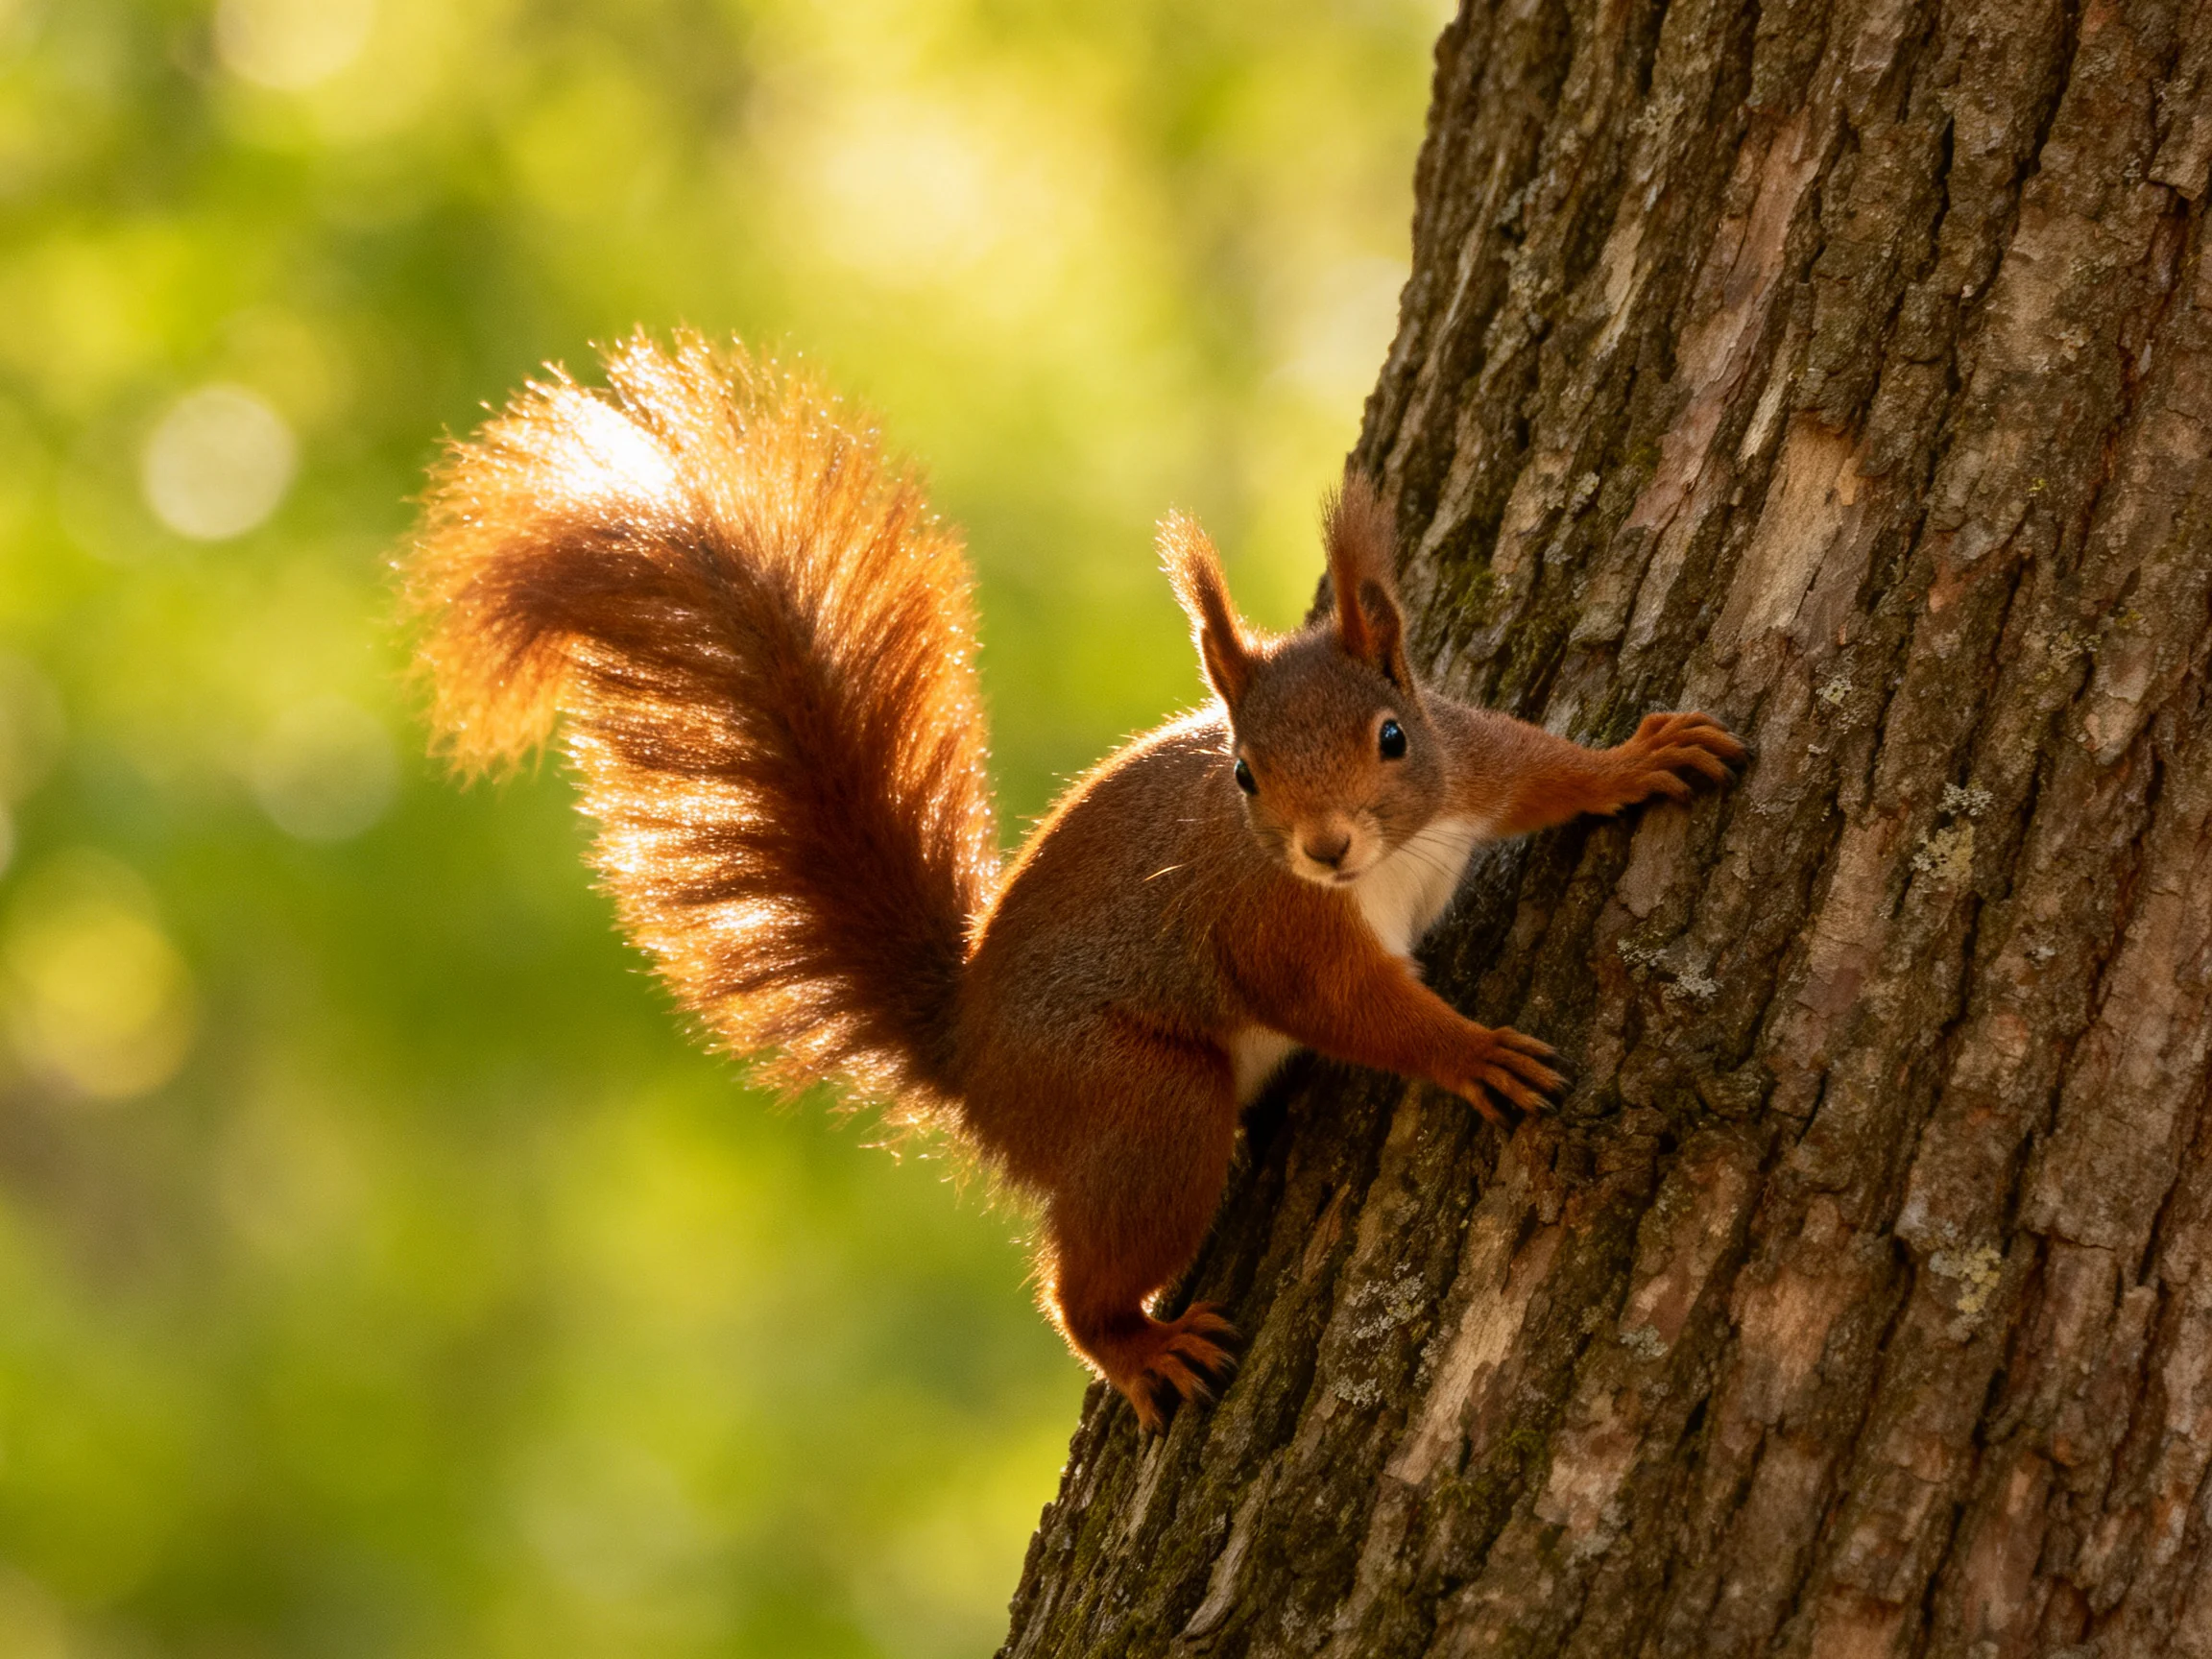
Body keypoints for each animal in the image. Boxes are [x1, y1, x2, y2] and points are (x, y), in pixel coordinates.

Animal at [403, 331, 1746, 1431]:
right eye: (1245, 775)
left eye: (1392, 738)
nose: (1325, 848)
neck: (1390, 859)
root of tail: (968, 1058)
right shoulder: (1272, 926)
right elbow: (1354, 1010)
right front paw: (1469, 1053)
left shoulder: (1470, 765)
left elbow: (1541, 770)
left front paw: (1637, 762)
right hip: (1136, 1101)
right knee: (1085, 1271)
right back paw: (1133, 1346)